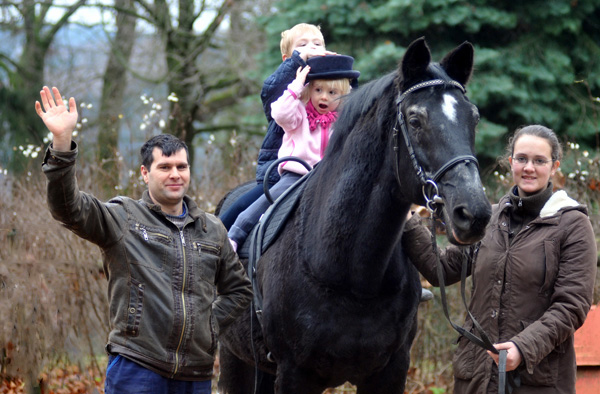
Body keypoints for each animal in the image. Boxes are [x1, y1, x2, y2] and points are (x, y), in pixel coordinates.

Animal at [218, 39, 490, 394]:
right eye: (415, 120)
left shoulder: (390, 372)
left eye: (474, 118)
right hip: (234, 358)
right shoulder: (293, 375)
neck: (351, 275)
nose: (473, 213)